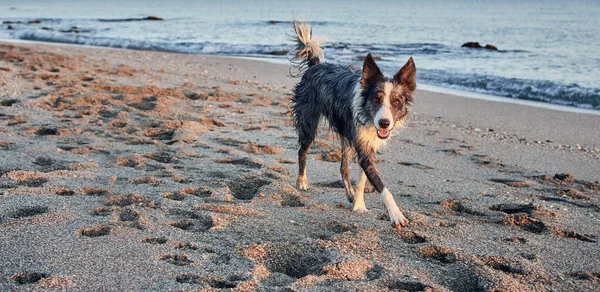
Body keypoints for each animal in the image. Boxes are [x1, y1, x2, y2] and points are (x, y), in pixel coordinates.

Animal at [290, 21, 418, 229]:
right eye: (376, 99)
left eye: (397, 102)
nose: (384, 123)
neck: (369, 116)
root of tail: (315, 66)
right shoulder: (362, 144)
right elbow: (382, 186)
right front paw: (396, 214)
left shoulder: (368, 143)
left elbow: (363, 179)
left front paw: (358, 204)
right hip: (309, 121)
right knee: (302, 151)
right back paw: (301, 181)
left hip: (346, 136)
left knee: (343, 166)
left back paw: (349, 194)